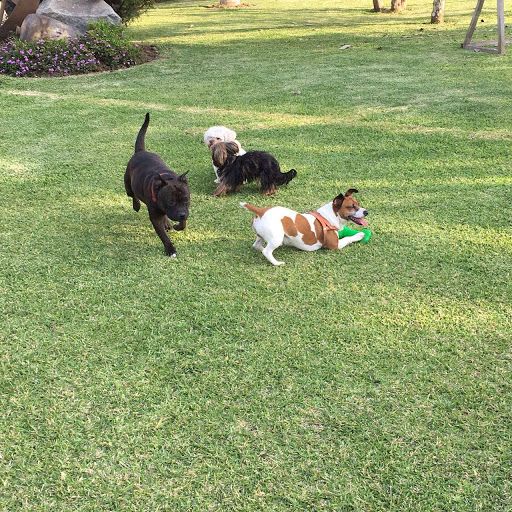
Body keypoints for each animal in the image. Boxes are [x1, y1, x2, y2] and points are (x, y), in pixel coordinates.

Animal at [124, 113, 190, 257]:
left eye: (186, 200)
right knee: (133, 195)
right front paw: (170, 250)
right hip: (128, 186)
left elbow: (183, 223)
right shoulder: (155, 217)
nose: (182, 214)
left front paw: (178, 225)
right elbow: (163, 236)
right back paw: (136, 205)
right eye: (171, 202)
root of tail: (140, 151)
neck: (167, 179)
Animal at [240, 189, 368, 265]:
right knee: (267, 251)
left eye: (358, 204)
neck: (329, 216)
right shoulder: (335, 245)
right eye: (351, 206)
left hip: (262, 235)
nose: (366, 212)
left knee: (257, 245)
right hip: (277, 238)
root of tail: (261, 211)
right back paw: (277, 262)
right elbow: (347, 239)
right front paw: (359, 235)